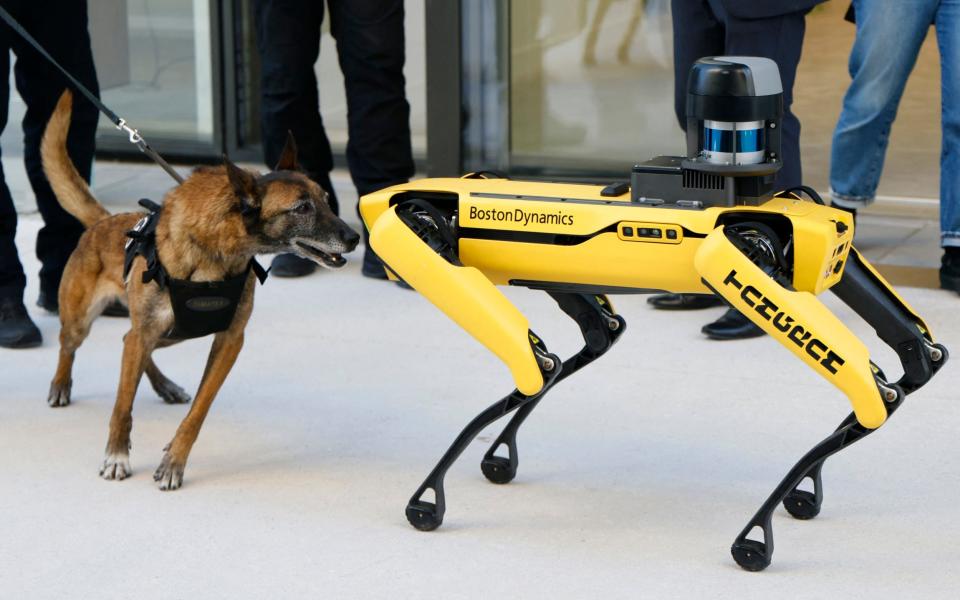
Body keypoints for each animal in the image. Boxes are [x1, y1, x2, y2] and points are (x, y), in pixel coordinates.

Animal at [39, 91, 358, 490]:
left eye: (328, 201)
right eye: (302, 208)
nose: (355, 237)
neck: (214, 254)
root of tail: (104, 221)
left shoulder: (229, 342)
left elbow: (198, 412)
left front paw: (174, 461)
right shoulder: (152, 334)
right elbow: (122, 406)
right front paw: (116, 455)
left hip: (167, 335)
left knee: (133, 345)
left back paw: (165, 386)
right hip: (85, 321)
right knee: (74, 345)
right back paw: (60, 384)